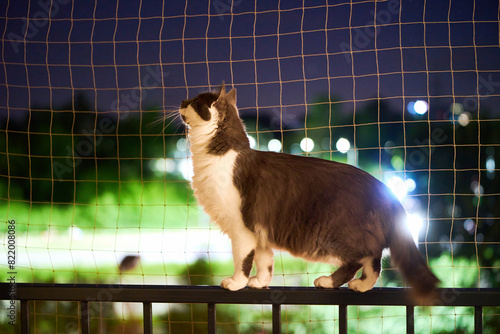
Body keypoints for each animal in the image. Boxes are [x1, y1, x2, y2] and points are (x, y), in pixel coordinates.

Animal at [179, 83, 438, 302]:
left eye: (195, 100)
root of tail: (387, 190)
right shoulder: (260, 234)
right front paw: (260, 283)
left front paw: (236, 283)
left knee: (361, 260)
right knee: (374, 263)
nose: (182, 100)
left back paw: (330, 282)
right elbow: (265, 261)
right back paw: (361, 286)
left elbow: (243, 261)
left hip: (338, 237)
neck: (220, 155)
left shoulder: (242, 230)